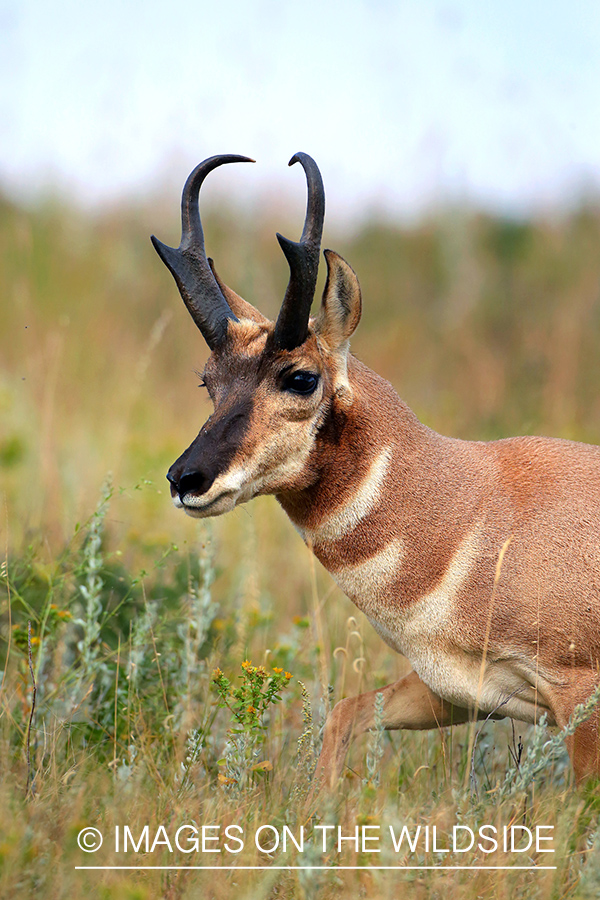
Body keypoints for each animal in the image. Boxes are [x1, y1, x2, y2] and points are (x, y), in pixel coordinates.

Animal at [151, 155, 600, 788]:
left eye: (300, 377)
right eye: (208, 381)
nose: (185, 480)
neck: (476, 512)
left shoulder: (579, 702)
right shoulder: (458, 691)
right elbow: (345, 712)